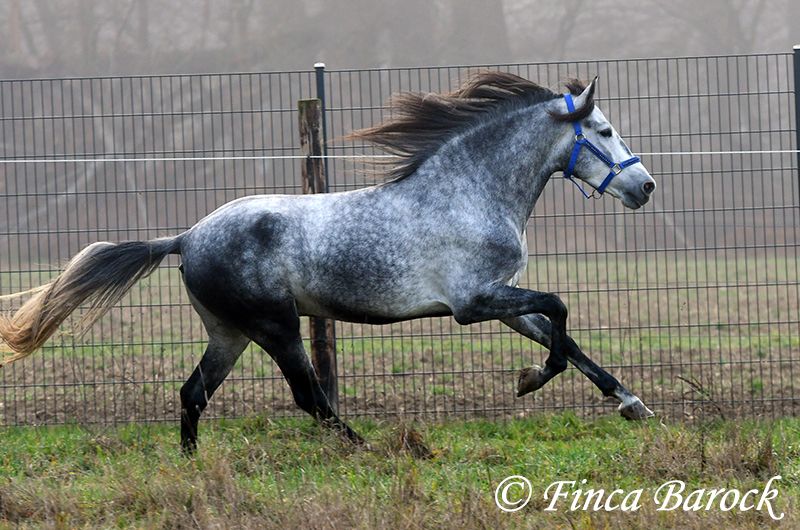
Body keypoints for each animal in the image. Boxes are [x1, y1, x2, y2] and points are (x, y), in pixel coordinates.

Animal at [0, 72, 657, 451]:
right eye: (604, 129)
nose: (645, 186)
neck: (468, 191)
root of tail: (187, 237)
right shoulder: (473, 302)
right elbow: (561, 313)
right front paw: (529, 381)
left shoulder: (502, 299)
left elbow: (567, 338)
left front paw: (632, 405)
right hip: (276, 326)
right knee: (308, 397)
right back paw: (376, 448)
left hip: (229, 333)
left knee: (194, 394)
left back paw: (193, 465)